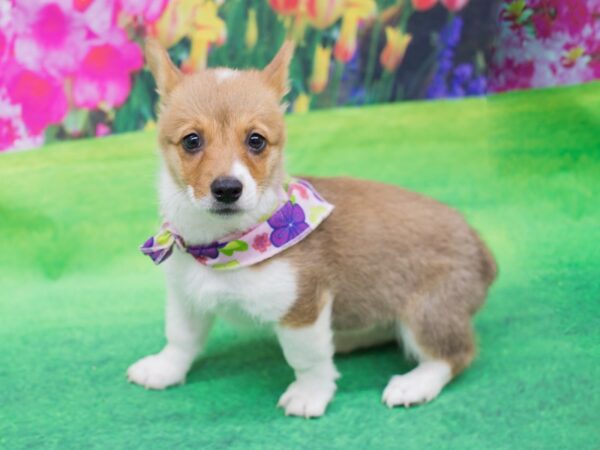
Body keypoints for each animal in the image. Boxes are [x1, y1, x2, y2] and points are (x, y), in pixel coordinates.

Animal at [126, 38, 496, 418]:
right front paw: (164, 369)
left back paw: (414, 384)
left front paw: (310, 394)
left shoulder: (301, 309)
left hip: (428, 313)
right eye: (191, 140)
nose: (228, 188)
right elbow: (180, 339)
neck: (222, 249)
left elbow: (307, 359)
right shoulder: (186, 298)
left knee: (454, 354)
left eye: (256, 140)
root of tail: (480, 247)